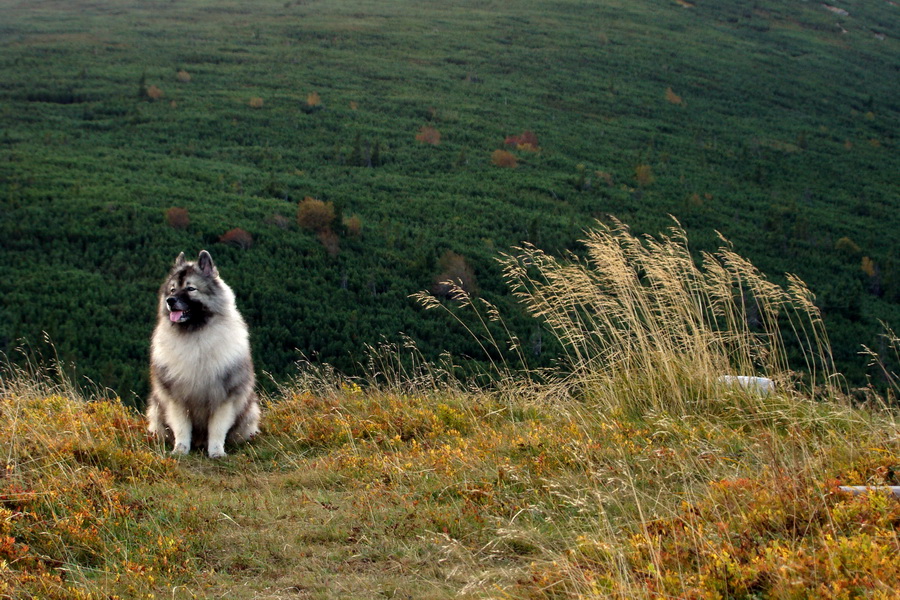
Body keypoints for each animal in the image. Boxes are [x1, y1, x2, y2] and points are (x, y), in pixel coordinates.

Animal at [147, 251, 260, 458]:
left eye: (191, 288)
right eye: (172, 289)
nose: (170, 301)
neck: (195, 335)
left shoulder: (223, 398)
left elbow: (217, 429)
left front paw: (216, 452)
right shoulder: (177, 399)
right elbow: (181, 428)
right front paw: (180, 450)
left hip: (250, 409)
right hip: (156, 408)